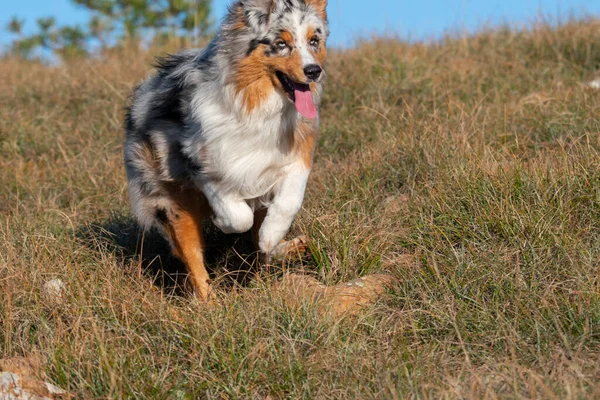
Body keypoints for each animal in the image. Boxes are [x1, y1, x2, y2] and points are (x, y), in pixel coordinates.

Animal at [122, 0, 328, 300]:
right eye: (280, 43)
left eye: (314, 40)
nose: (314, 71)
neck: (261, 106)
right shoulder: (204, 164)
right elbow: (237, 216)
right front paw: (223, 223)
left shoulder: (296, 156)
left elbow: (287, 204)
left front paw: (272, 236)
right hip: (170, 201)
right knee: (194, 259)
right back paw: (209, 303)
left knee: (262, 248)